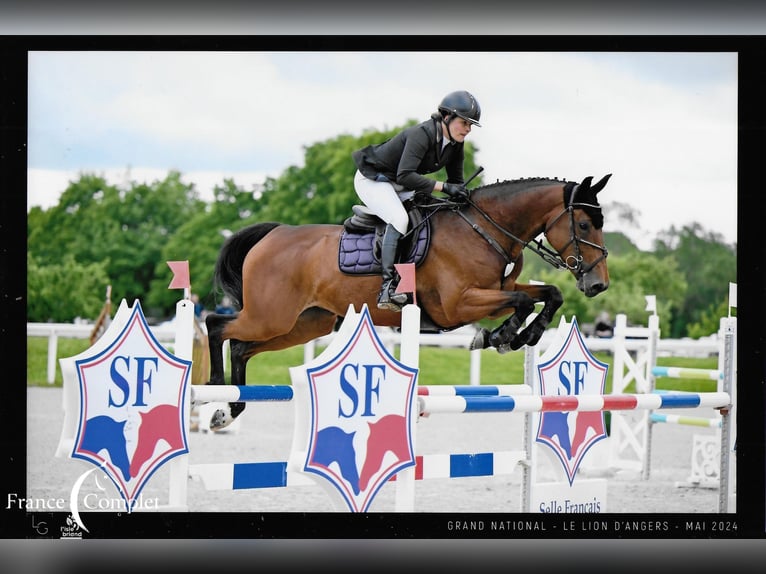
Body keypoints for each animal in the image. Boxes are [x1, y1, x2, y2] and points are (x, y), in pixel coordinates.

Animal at [203, 174, 612, 430]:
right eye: (584, 225)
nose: (598, 284)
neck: (486, 230)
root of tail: (272, 235)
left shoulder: (494, 294)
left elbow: (547, 294)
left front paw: (521, 336)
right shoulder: (458, 305)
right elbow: (522, 302)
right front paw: (499, 337)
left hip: (304, 323)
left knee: (240, 346)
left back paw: (231, 408)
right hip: (272, 315)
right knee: (216, 325)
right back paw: (213, 390)